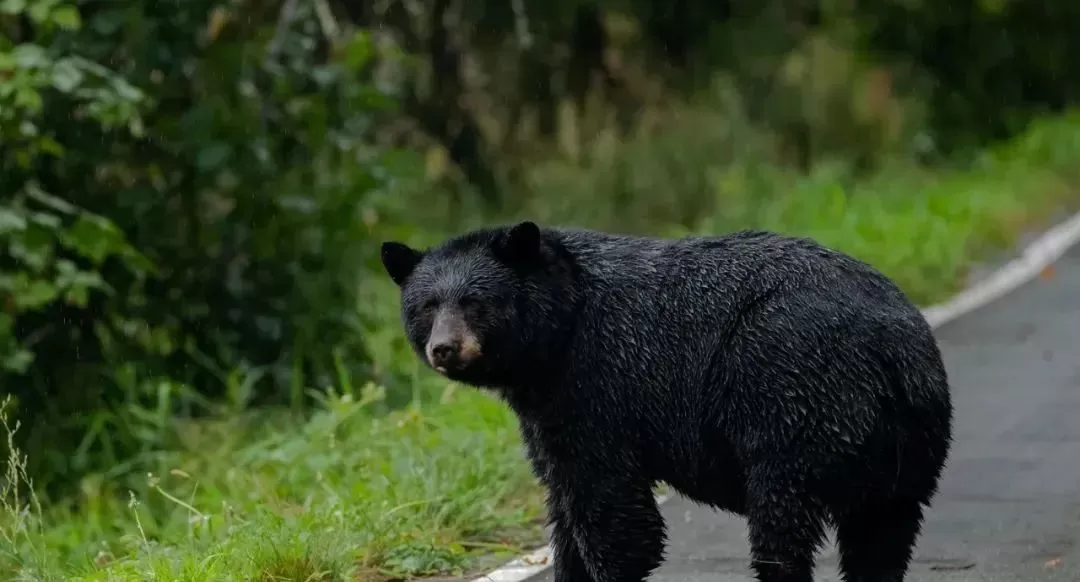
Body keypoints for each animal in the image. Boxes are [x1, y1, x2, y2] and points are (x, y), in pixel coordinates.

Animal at [379, 221, 954, 582]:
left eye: (476, 301)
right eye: (426, 305)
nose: (444, 348)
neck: (557, 333)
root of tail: (888, 350)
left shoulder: (596, 387)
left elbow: (612, 511)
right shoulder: (546, 411)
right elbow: (563, 500)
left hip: (790, 401)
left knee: (782, 525)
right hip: (908, 443)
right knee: (881, 538)